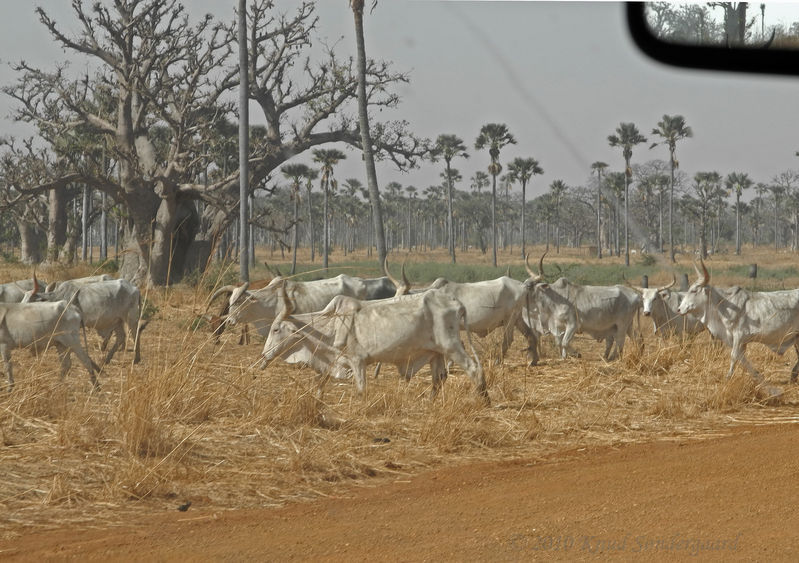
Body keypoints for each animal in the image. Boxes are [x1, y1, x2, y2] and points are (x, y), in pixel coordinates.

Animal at [264, 286, 488, 400]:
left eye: (275, 329)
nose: (264, 355)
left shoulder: (357, 361)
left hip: (452, 347)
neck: (332, 324)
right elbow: (321, 384)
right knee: (439, 378)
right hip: (436, 353)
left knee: (474, 368)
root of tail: (456, 302)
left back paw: (484, 400)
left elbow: (361, 390)